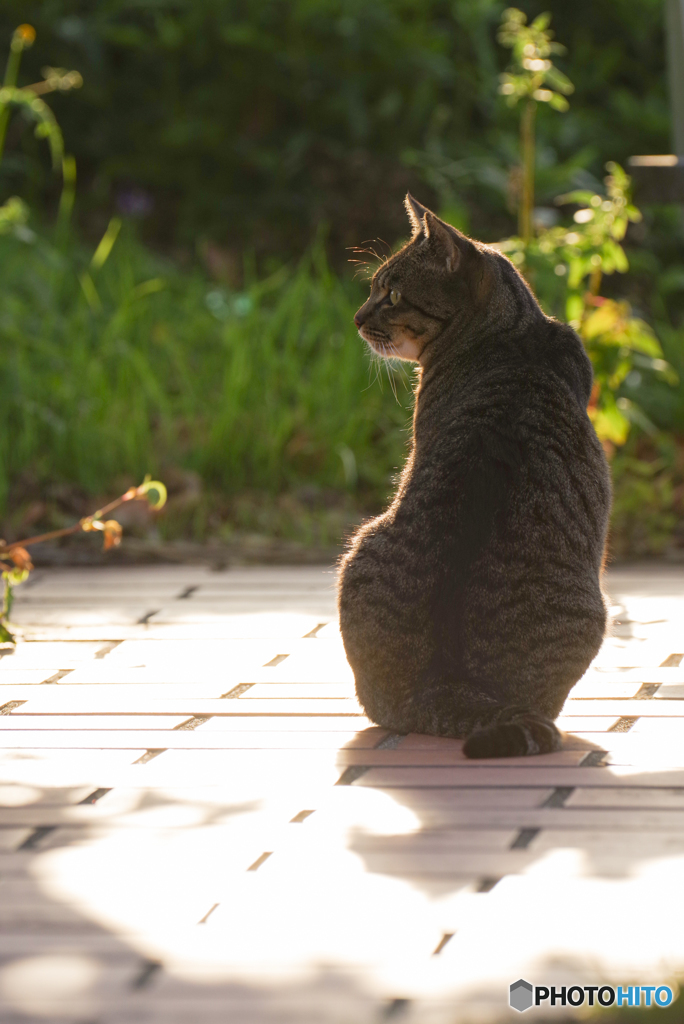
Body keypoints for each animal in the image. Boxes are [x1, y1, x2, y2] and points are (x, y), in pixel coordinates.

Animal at [335, 192, 610, 757]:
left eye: (392, 293)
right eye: (375, 288)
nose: (355, 317)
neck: (512, 334)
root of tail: (446, 685)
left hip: (360, 550)